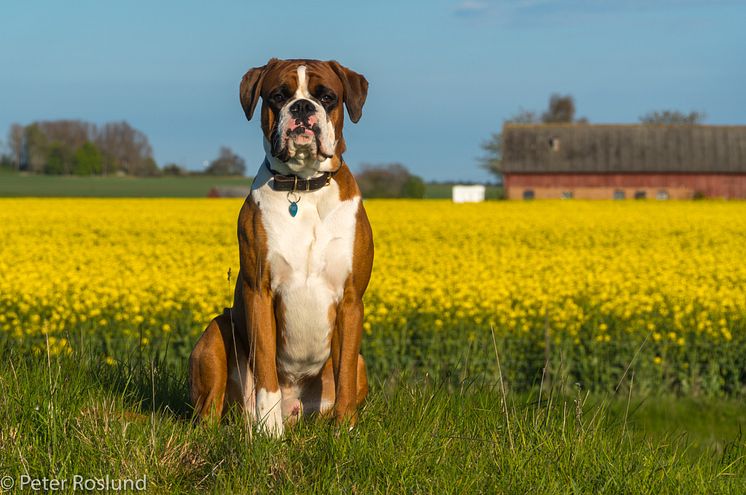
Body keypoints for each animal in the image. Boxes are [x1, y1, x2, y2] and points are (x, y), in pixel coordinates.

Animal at [186, 59, 372, 438]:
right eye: (278, 96)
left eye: (326, 97)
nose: (301, 108)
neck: (304, 187)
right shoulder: (260, 291)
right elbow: (266, 370)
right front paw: (269, 431)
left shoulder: (350, 300)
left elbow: (344, 372)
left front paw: (345, 432)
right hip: (215, 334)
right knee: (208, 412)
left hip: (360, 365)